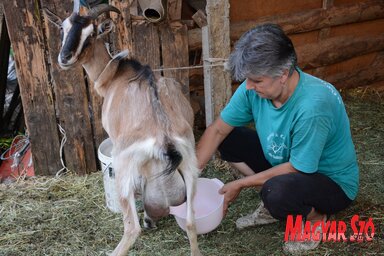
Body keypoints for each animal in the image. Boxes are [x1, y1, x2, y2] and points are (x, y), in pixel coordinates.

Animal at [43, 2, 201, 256]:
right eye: (62, 28)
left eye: (91, 34)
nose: (65, 58)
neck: (116, 75)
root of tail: (163, 137)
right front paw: (150, 218)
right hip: (190, 163)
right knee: (190, 223)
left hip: (123, 168)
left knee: (131, 229)